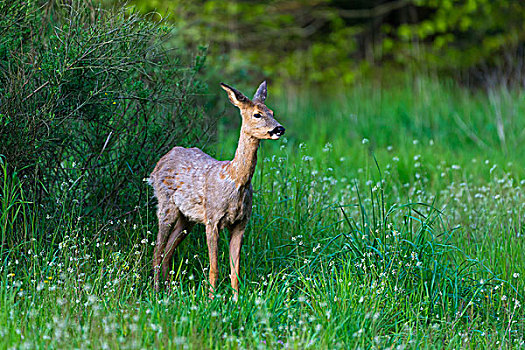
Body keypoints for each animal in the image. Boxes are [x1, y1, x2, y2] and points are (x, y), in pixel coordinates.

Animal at [149, 80, 284, 300]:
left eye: (271, 111)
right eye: (257, 114)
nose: (279, 128)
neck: (235, 180)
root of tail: (161, 161)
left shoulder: (240, 223)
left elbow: (235, 269)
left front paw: (236, 300)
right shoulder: (212, 220)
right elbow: (214, 268)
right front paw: (211, 300)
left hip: (187, 219)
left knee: (168, 252)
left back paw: (169, 292)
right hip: (166, 205)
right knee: (157, 251)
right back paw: (156, 292)